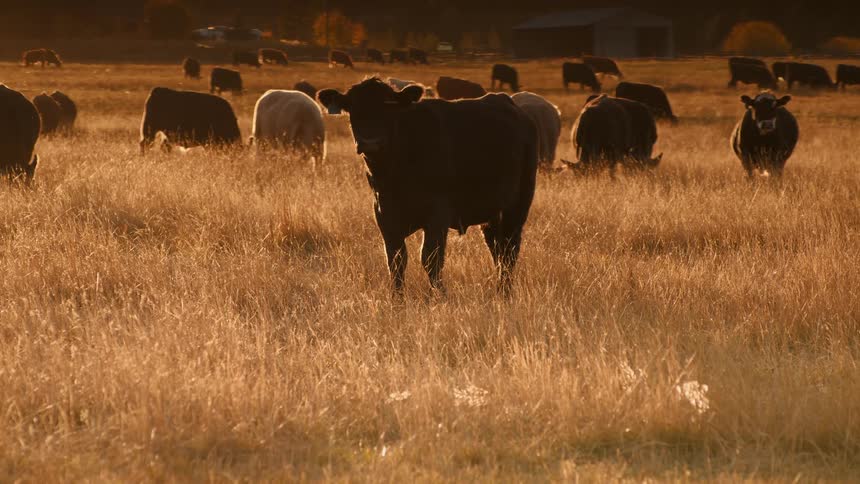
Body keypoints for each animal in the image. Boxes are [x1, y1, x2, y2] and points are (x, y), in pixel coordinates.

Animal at [316, 78, 538, 295]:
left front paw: (440, 296)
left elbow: (431, 259)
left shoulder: (437, 214)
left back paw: (505, 292)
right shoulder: (384, 214)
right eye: (353, 109)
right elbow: (396, 261)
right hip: (491, 214)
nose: (370, 143)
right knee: (496, 249)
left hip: (517, 205)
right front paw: (397, 300)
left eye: (388, 107)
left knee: (509, 251)